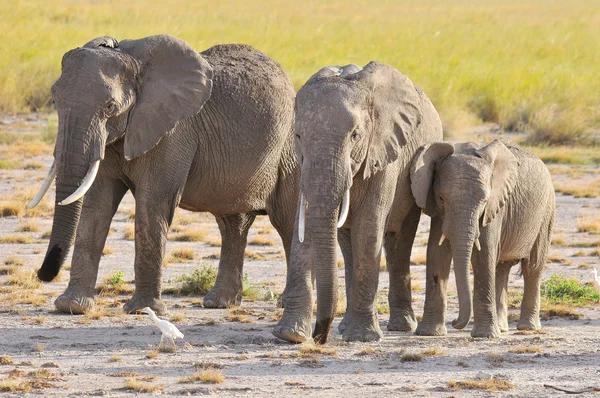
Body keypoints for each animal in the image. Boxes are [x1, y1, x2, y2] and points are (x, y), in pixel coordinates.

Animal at [29, 34, 298, 314]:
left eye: (110, 106)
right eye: (54, 101)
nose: (42, 274)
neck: (133, 62)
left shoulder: (172, 132)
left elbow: (152, 204)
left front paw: (142, 310)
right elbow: (96, 207)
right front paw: (72, 306)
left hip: (289, 149)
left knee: (286, 220)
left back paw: (284, 302)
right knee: (232, 223)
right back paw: (218, 303)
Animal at [272, 60, 440, 344]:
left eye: (355, 136)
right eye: (297, 136)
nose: (319, 337)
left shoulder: (385, 152)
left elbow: (368, 228)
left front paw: (363, 337)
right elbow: (302, 228)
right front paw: (290, 335)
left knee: (399, 240)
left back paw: (399, 326)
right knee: (347, 242)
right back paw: (345, 327)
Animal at [410, 138, 556, 338]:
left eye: (484, 201)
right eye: (441, 198)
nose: (455, 323)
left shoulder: (495, 207)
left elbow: (484, 255)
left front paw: (485, 335)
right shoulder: (439, 213)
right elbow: (436, 253)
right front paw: (429, 333)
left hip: (546, 213)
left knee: (532, 267)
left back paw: (527, 327)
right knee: (501, 268)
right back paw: (502, 327)